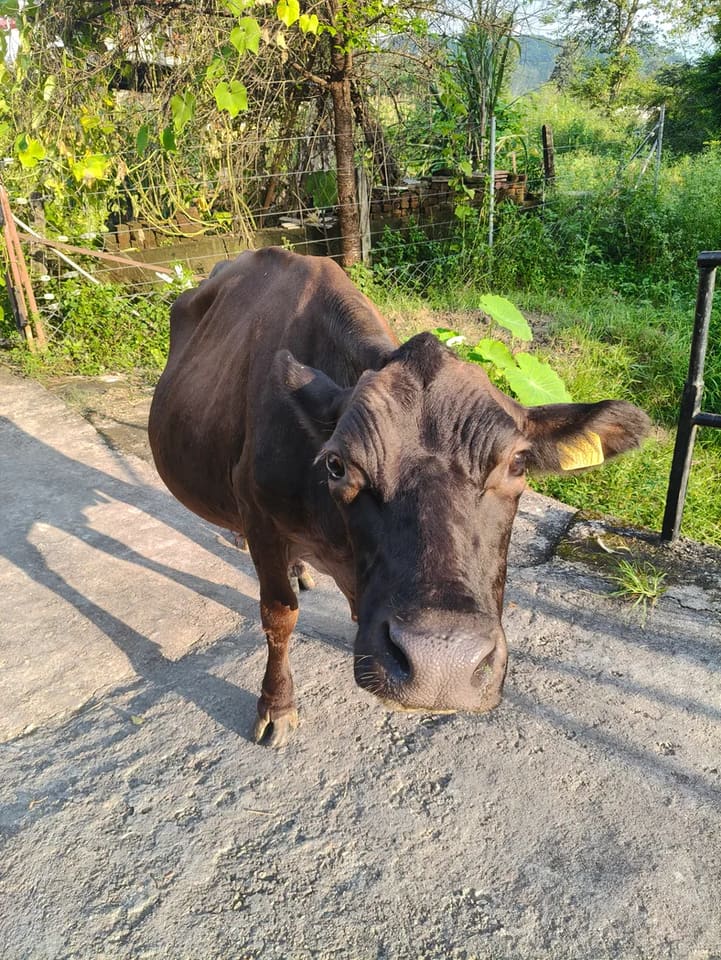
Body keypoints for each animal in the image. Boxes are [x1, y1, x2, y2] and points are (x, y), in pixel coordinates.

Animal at [148, 247, 650, 747]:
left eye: (518, 464)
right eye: (337, 464)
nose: (441, 664)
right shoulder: (262, 523)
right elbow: (278, 615)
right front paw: (277, 705)